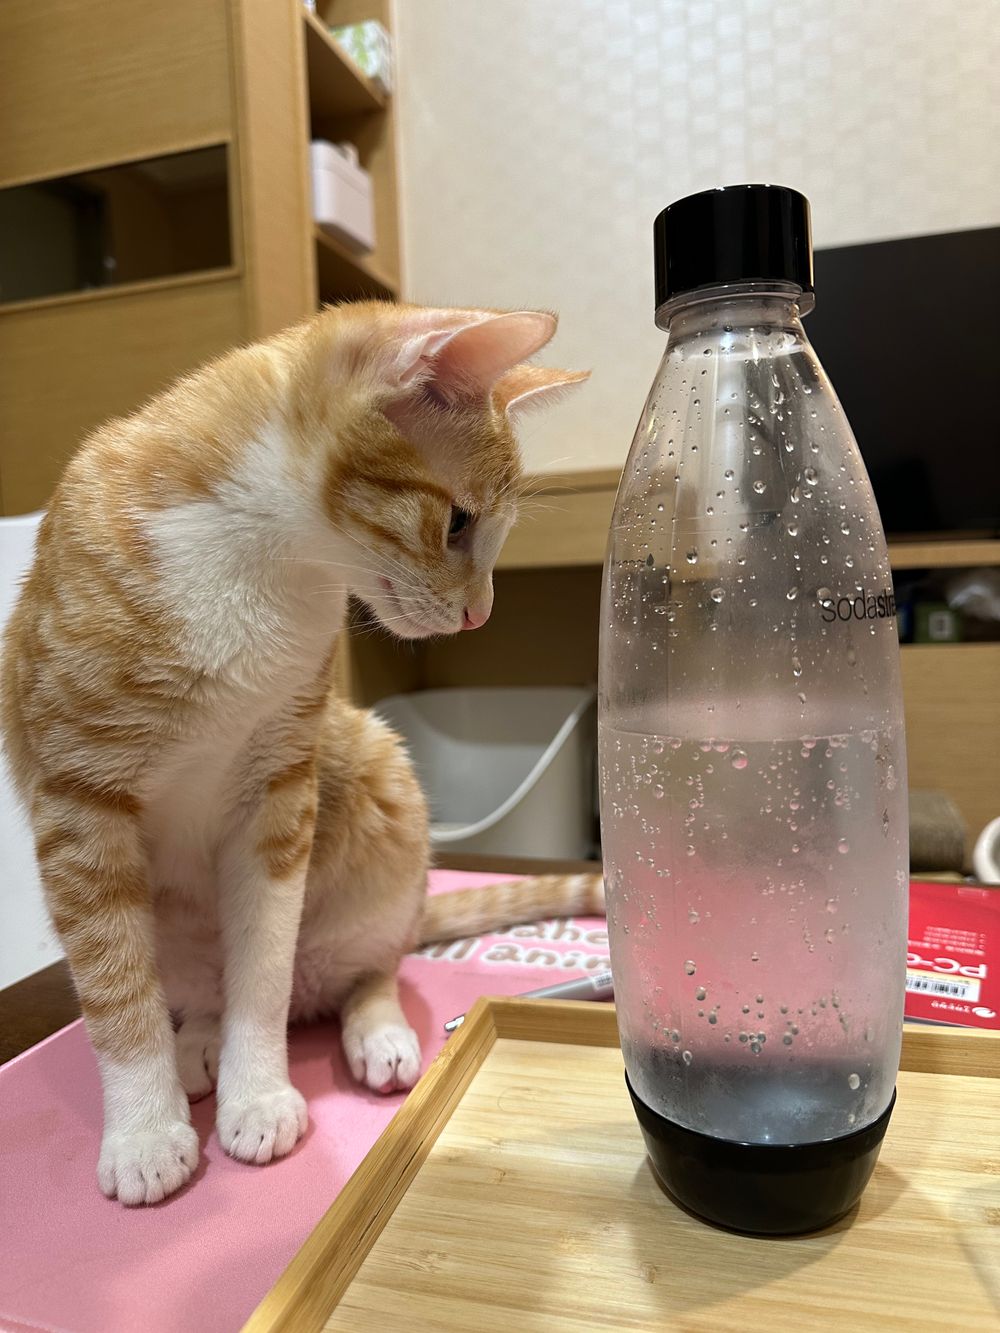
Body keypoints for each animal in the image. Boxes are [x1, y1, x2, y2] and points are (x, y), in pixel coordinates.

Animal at [1, 301, 592, 1205]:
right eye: (458, 521)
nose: (480, 615)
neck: (255, 554)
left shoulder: (279, 785)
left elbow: (262, 968)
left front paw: (259, 1093)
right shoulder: (78, 801)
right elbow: (113, 985)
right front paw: (144, 1129)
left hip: (380, 788)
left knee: (366, 970)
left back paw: (375, 1033)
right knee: (194, 988)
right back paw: (194, 1043)